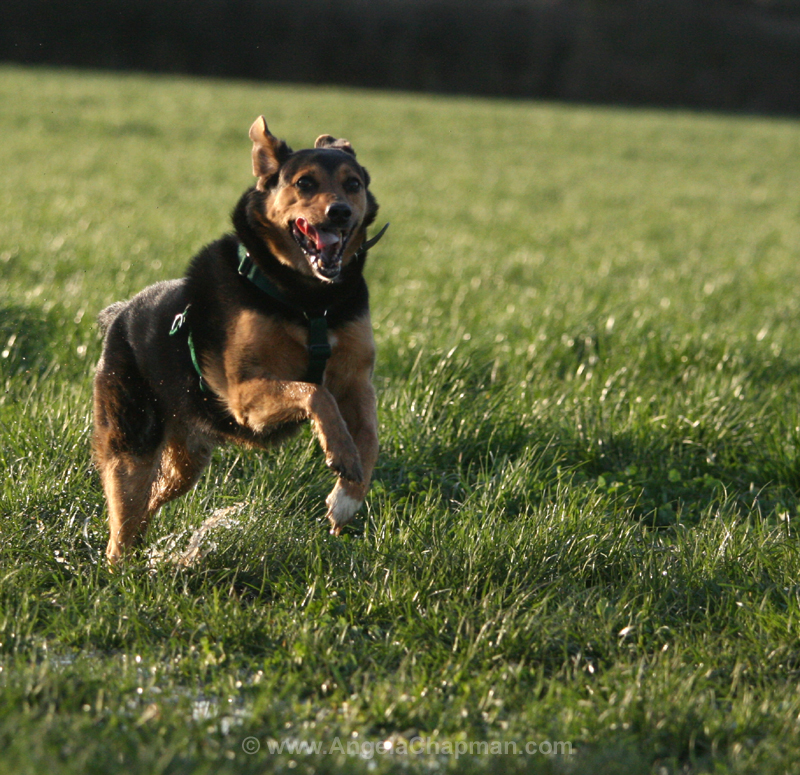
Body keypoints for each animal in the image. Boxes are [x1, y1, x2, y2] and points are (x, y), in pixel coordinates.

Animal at [94, 116, 388, 564]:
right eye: (304, 183)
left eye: (352, 183)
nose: (339, 212)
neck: (310, 300)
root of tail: (120, 314)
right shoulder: (244, 396)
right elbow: (314, 393)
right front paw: (339, 455)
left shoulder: (357, 382)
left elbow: (369, 437)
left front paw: (347, 498)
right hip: (133, 440)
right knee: (122, 521)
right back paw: (122, 569)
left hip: (187, 458)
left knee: (154, 496)